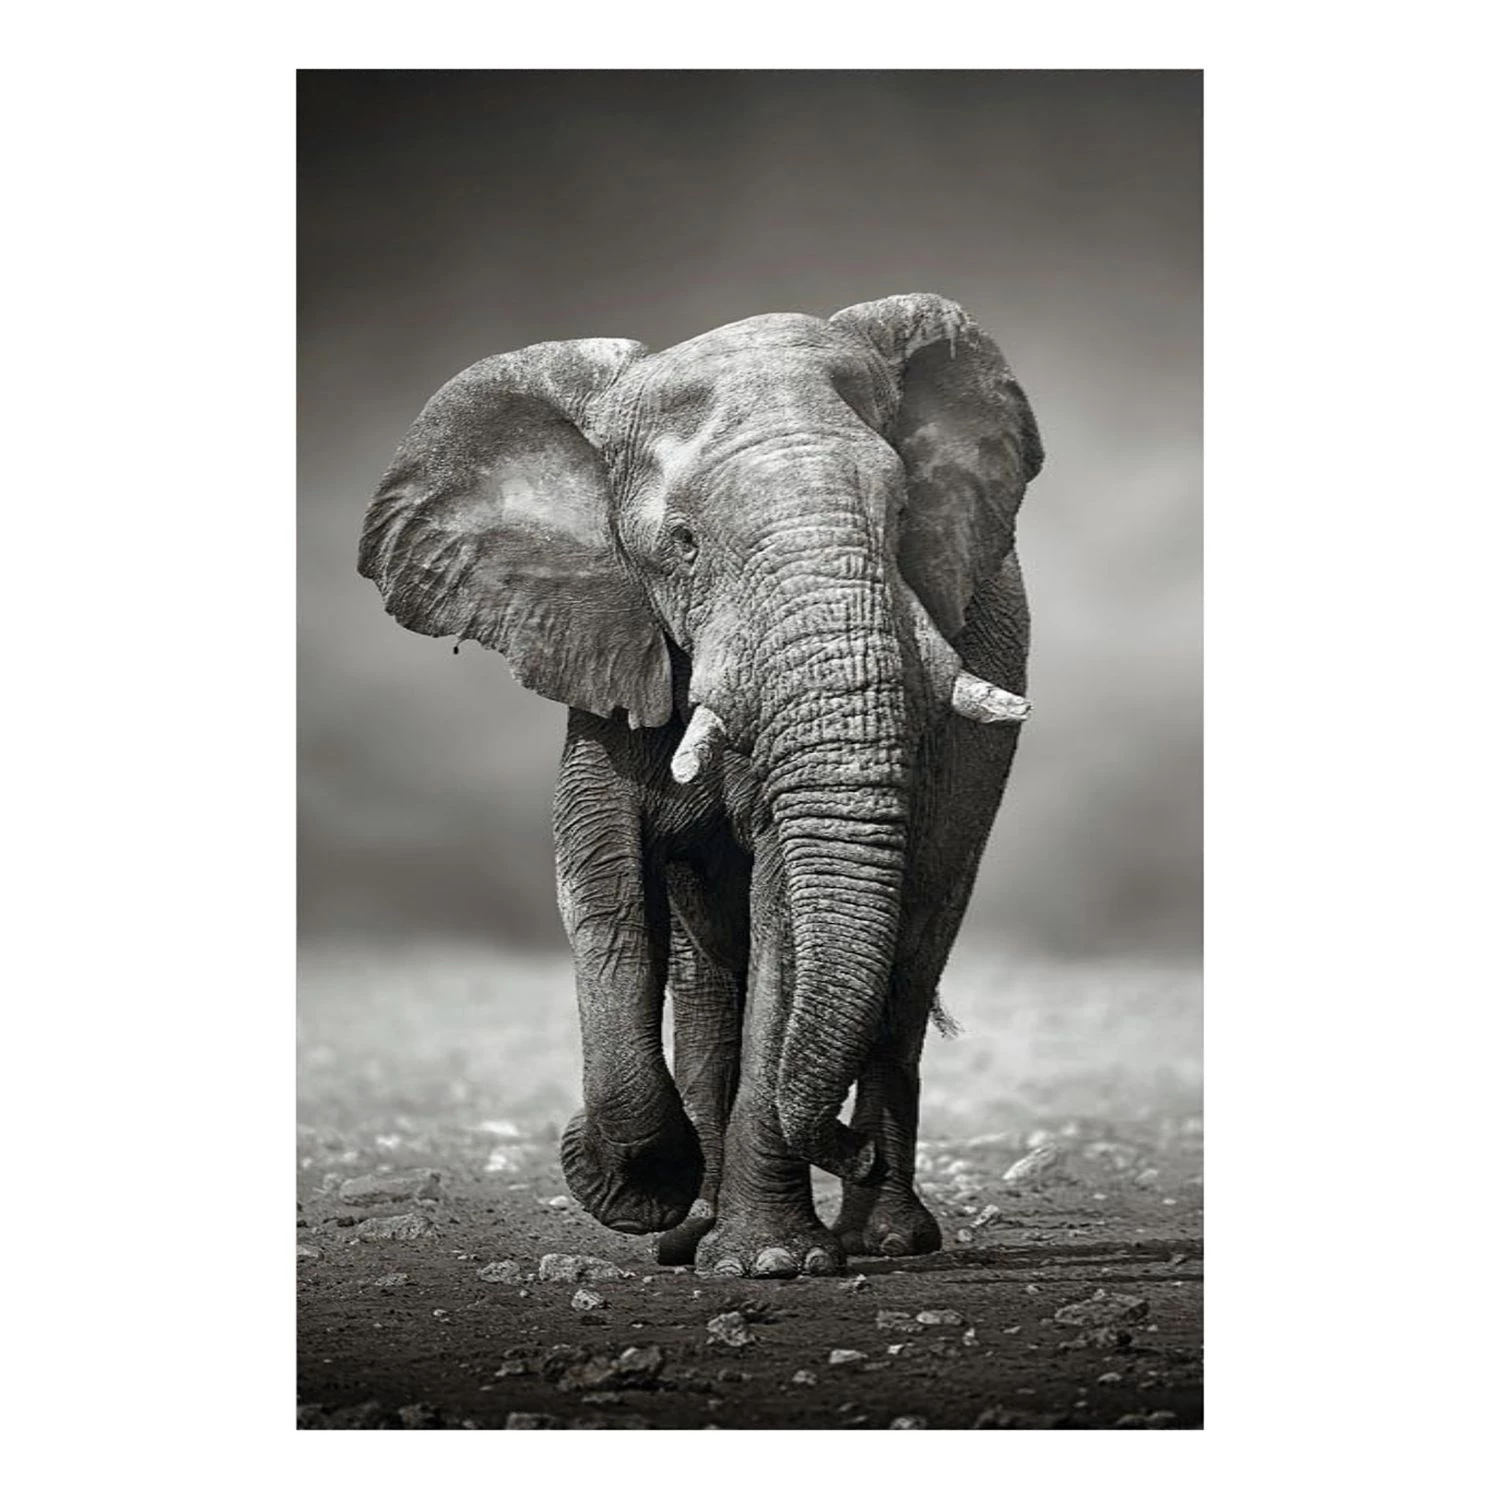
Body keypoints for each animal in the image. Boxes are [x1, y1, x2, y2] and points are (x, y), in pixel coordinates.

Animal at [358, 293, 1043, 1278]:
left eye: (904, 512)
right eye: (682, 545)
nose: (846, 1149)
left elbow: (785, 911)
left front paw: (771, 1262)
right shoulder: (607, 641)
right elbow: (600, 884)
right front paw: (641, 1190)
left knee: (910, 956)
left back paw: (883, 1238)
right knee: (706, 976)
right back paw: (692, 1232)